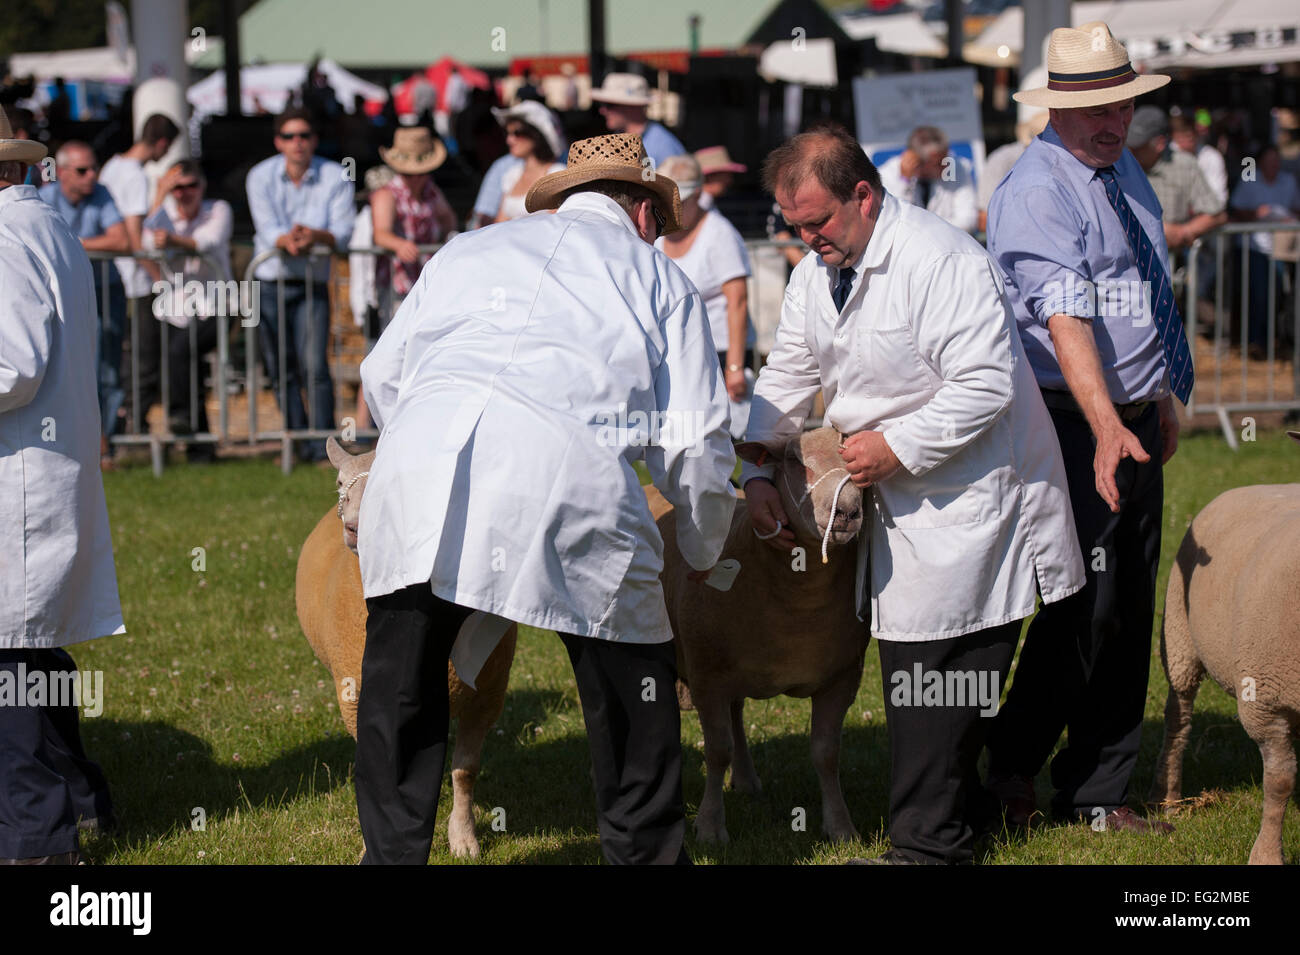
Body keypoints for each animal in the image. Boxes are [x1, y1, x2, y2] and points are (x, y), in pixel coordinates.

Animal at [655, 428, 868, 841]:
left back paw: (747, 779)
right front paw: (709, 827)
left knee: (737, 714)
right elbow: (716, 750)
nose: (849, 512)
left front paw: (840, 826)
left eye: (853, 460)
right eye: (794, 461)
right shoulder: (707, 676)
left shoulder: (842, 677)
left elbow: (827, 753)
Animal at [1149, 433, 1300, 867]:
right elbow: (1279, 783)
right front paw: (1266, 855)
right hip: (1179, 639)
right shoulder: (1265, 704)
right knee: (1178, 717)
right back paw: (1167, 797)